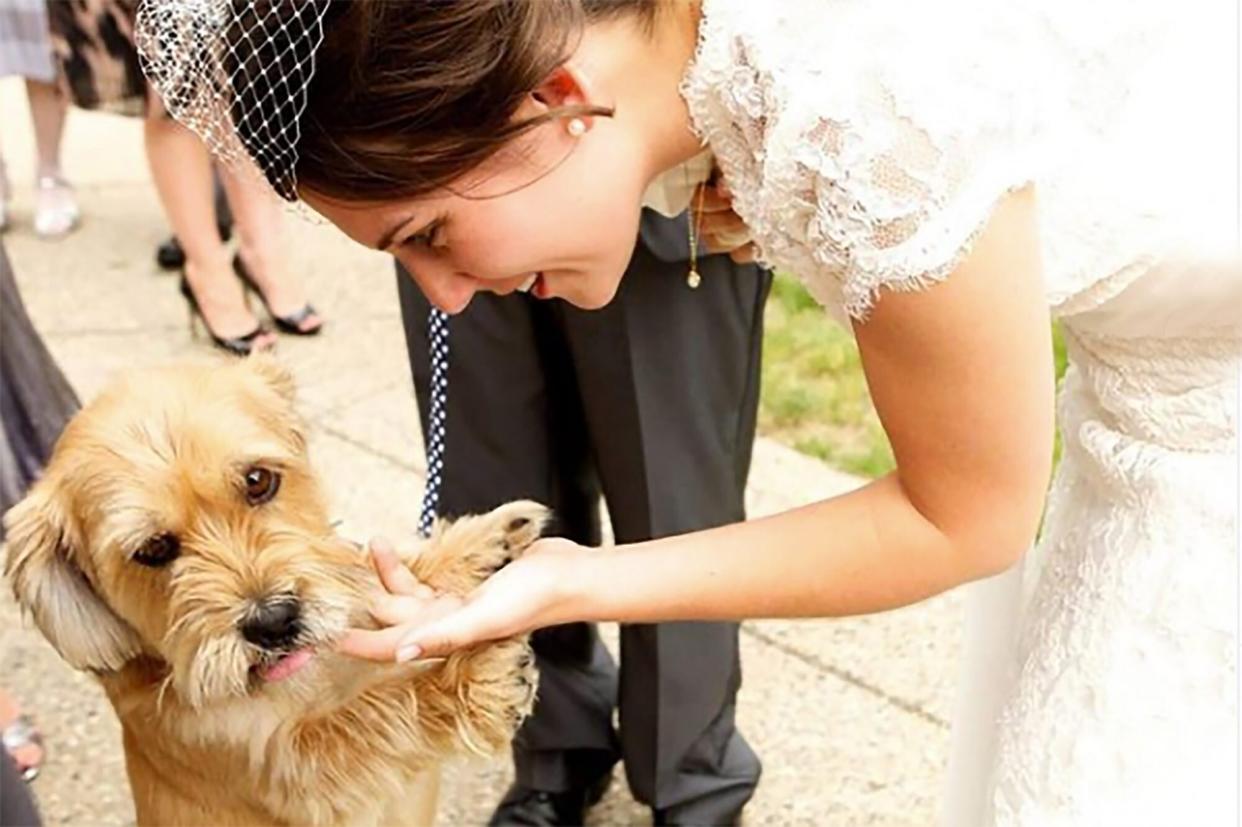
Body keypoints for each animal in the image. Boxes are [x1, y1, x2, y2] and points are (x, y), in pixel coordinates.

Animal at [2, 355, 543, 824]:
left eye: (259, 480)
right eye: (153, 549)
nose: (274, 622)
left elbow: (365, 575)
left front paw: (476, 547)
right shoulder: (292, 774)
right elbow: (371, 719)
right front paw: (470, 682)